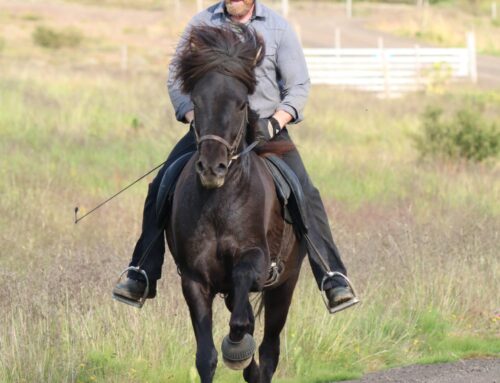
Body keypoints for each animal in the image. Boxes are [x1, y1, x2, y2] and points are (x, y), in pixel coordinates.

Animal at [165, 25, 304, 382]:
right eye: (196, 102)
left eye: (242, 104)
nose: (212, 168)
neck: (219, 204)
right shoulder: (194, 279)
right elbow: (206, 357)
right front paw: (233, 354)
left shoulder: (256, 262)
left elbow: (242, 321)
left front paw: (238, 349)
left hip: (285, 284)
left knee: (269, 349)